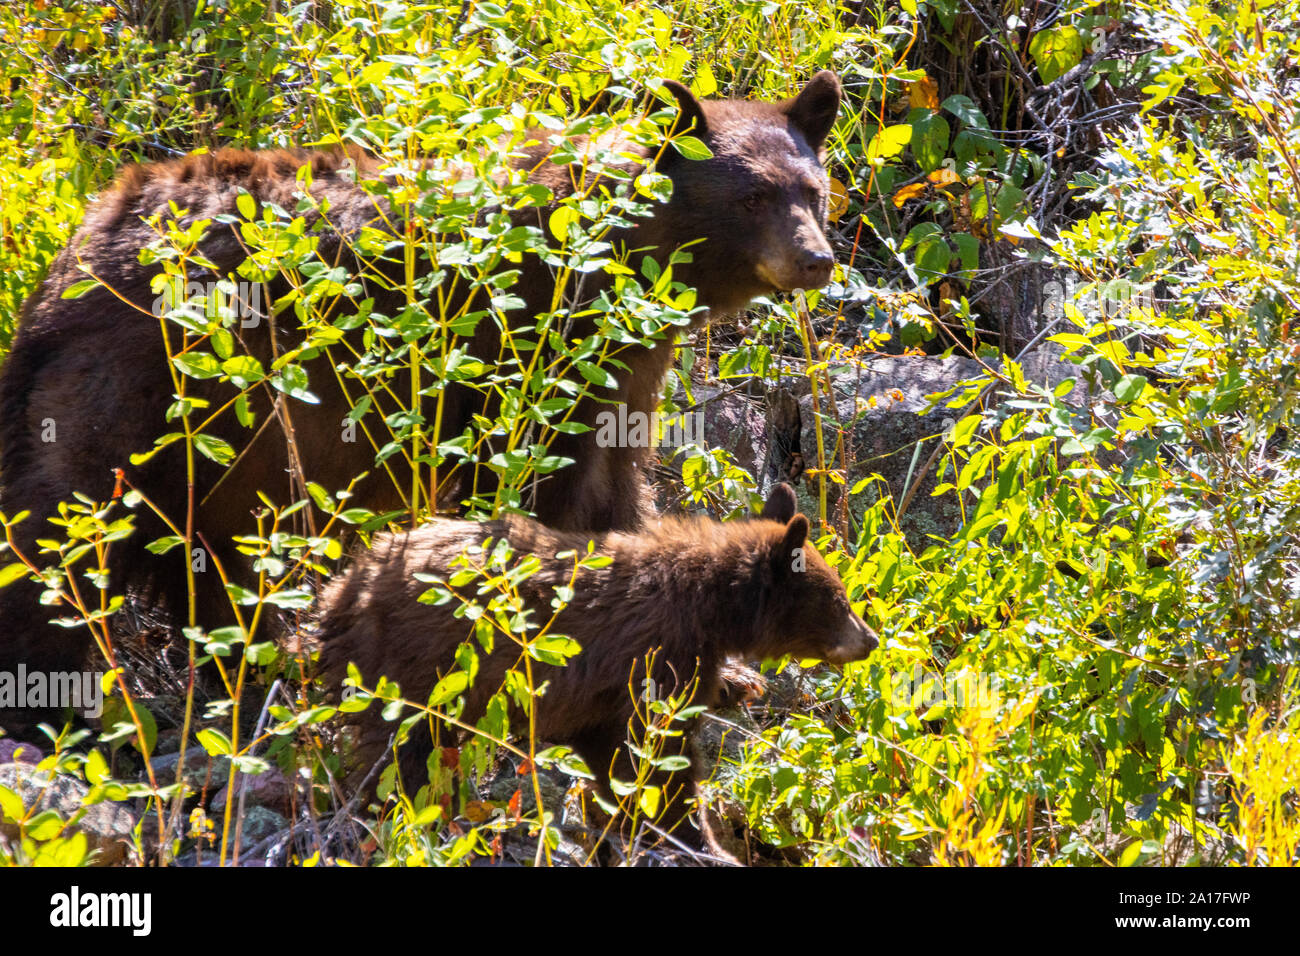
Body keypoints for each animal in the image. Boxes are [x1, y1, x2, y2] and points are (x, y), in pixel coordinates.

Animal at [0, 72, 842, 732]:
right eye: (753, 195)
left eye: (814, 191)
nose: (817, 260)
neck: (619, 253)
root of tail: (74, 255)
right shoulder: (536, 342)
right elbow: (551, 484)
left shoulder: (626, 365)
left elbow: (619, 482)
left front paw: (726, 670)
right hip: (146, 388)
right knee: (63, 526)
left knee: (214, 559)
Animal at [309, 482, 878, 853]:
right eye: (840, 599)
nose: (871, 640)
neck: (709, 601)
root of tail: (340, 593)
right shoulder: (654, 655)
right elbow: (657, 753)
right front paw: (696, 838)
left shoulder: (599, 696)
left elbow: (613, 755)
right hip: (415, 671)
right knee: (405, 759)